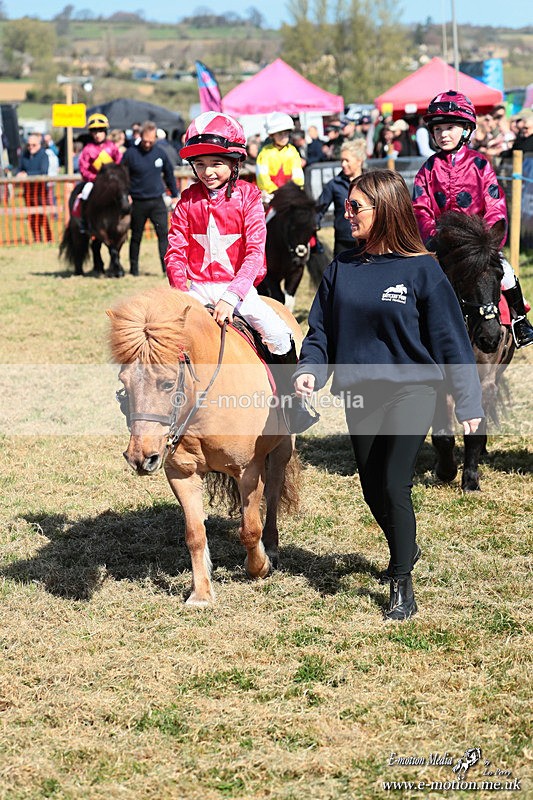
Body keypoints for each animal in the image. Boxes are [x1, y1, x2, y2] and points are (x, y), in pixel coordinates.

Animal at [107, 286, 302, 605]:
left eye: (167, 383)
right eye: (124, 382)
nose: (141, 458)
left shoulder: (248, 471)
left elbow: (250, 529)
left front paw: (259, 567)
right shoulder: (182, 475)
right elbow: (195, 534)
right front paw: (201, 593)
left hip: (282, 449)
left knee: (273, 494)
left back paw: (271, 547)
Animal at [257, 181, 325, 311]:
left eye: (313, 229)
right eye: (291, 228)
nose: (300, 259)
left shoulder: (296, 272)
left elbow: (288, 300)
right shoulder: (269, 276)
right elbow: (278, 298)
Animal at [431, 211, 515, 492]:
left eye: (499, 275)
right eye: (462, 278)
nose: (490, 338)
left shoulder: (486, 379)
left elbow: (476, 430)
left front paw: (470, 479)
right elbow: (443, 434)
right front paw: (446, 470)